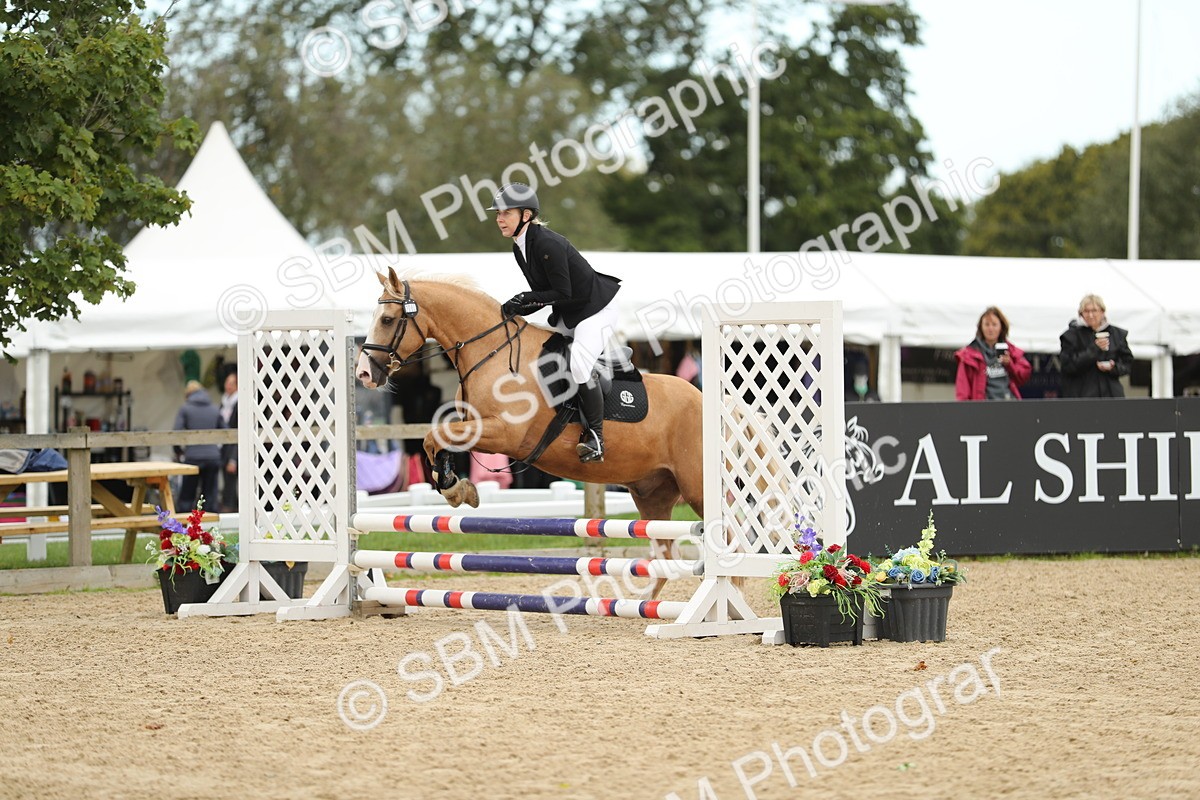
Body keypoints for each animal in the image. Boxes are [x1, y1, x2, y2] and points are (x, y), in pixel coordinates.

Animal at [354, 268, 704, 590]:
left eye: (388, 319)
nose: (363, 374)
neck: (491, 350)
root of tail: (702, 398)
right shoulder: (477, 426)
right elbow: (436, 440)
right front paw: (456, 487)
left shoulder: (505, 434)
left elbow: (434, 437)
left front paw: (454, 487)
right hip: (652, 494)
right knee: (665, 558)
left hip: (695, 489)